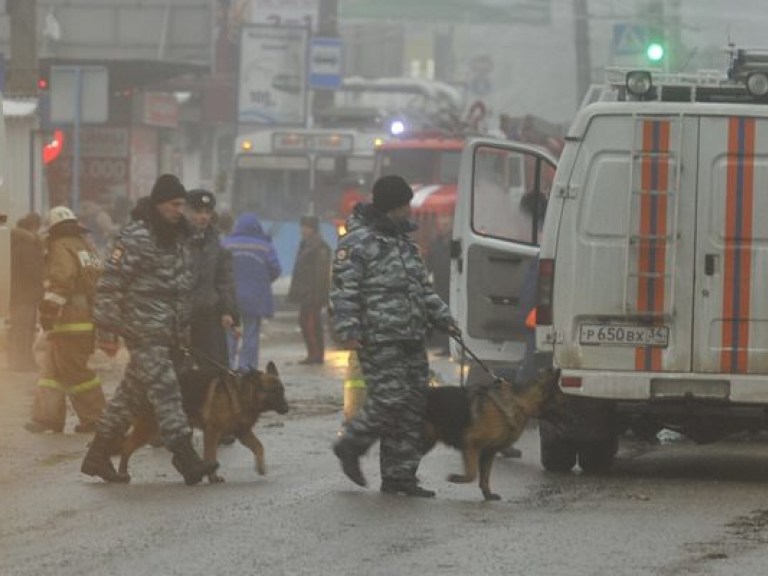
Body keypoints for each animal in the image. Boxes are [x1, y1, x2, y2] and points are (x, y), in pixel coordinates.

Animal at [118, 364, 290, 482]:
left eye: (282, 390)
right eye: (274, 392)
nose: (287, 408)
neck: (243, 392)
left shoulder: (242, 432)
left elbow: (259, 446)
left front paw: (261, 467)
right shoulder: (212, 431)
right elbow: (211, 455)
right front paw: (213, 477)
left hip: (179, 426)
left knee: (176, 455)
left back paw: (191, 475)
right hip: (148, 429)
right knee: (126, 446)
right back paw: (121, 472)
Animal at [424, 368, 560, 500]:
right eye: (561, 399)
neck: (518, 402)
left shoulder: (489, 452)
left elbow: (485, 477)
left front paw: (488, 495)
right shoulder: (472, 444)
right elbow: (472, 474)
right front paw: (457, 478)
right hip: (426, 440)